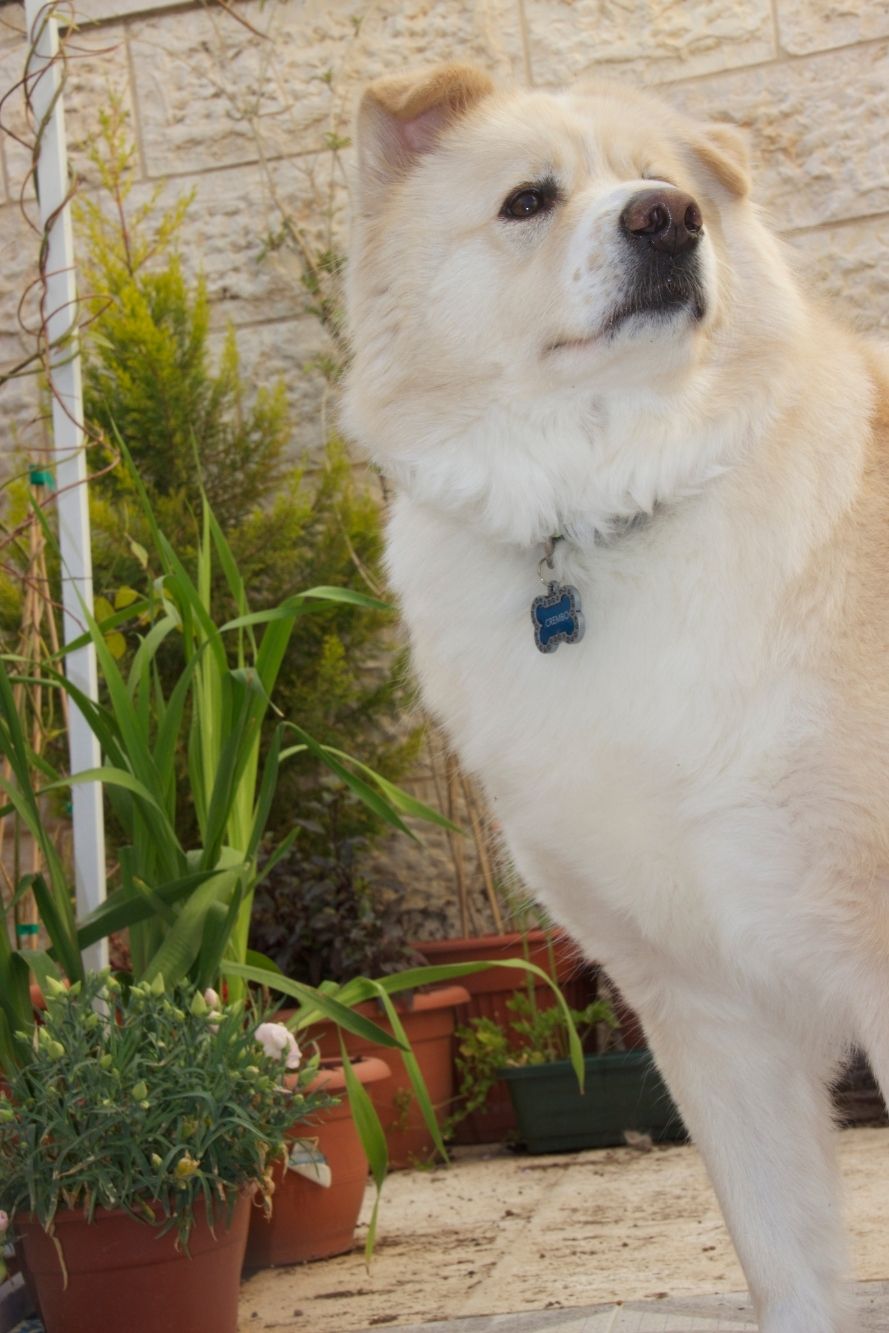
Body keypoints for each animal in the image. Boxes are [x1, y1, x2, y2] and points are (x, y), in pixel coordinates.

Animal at [343, 64, 889, 1333]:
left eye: (669, 183)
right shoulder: (705, 1010)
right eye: (527, 200)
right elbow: (788, 1269)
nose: (666, 221)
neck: (598, 518)